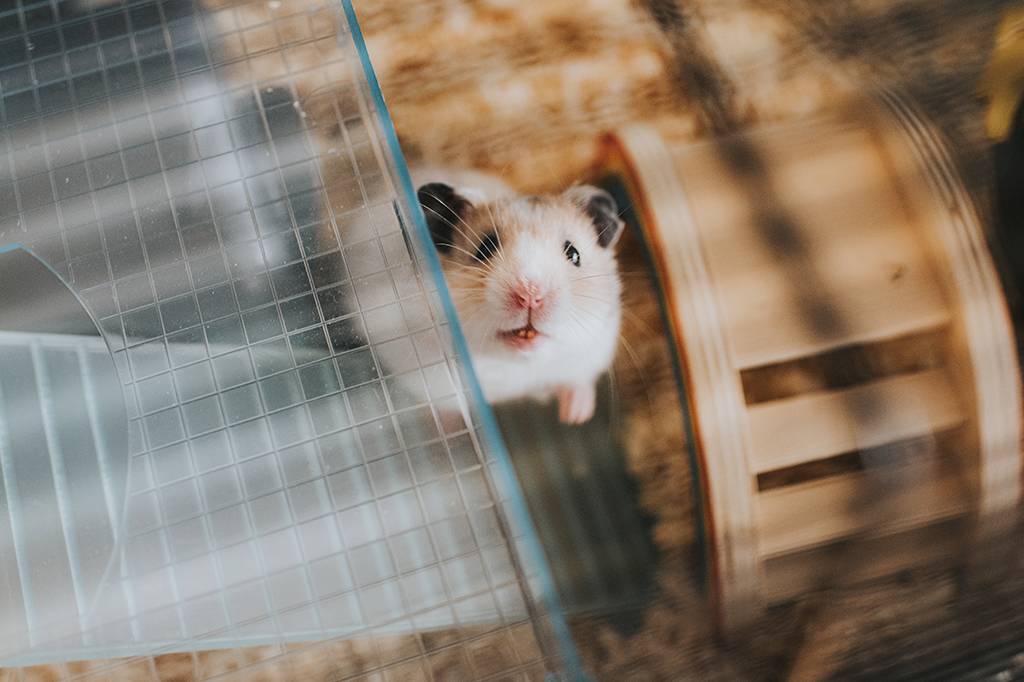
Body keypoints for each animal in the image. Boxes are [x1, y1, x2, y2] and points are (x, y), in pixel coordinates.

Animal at [411, 168, 624, 424]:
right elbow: (448, 406)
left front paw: (576, 417)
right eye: (484, 249)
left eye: (574, 254)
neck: (522, 362)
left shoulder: (593, 350)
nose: (530, 294)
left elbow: (578, 381)